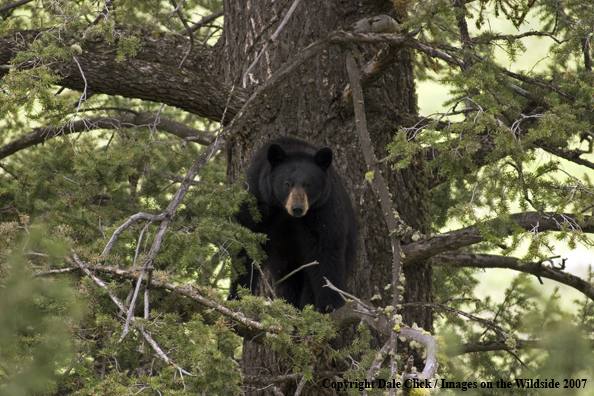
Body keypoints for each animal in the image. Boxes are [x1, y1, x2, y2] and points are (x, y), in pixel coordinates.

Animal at [229, 136, 354, 312]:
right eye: (287, 183)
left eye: (308, 184)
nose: (297, 208)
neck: (285, 213)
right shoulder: (256, 200)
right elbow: (246, 246)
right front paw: (238, 295)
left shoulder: (323, 209)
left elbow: (325, 250)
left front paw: (329, 304)